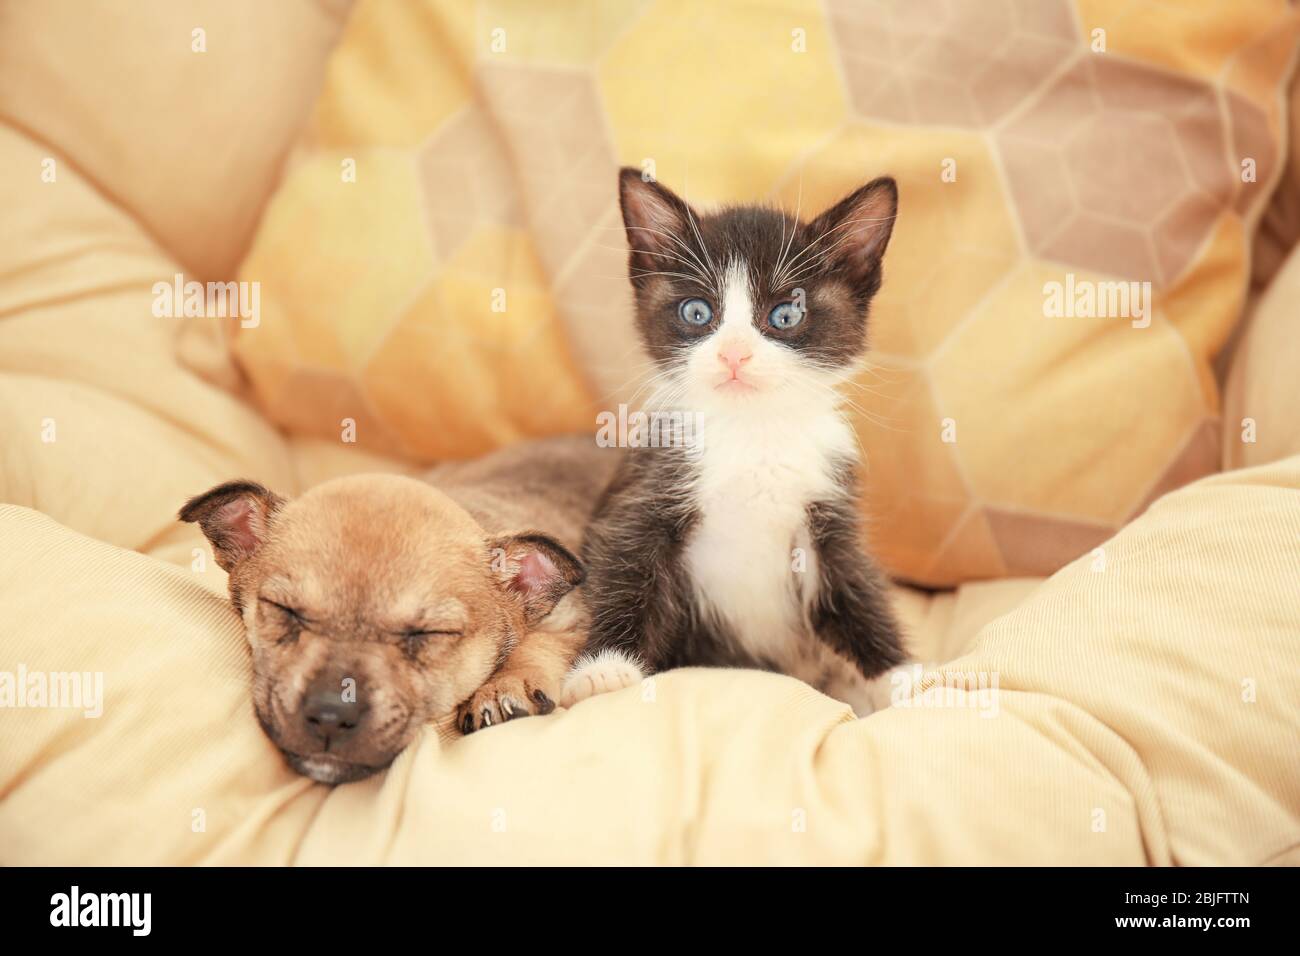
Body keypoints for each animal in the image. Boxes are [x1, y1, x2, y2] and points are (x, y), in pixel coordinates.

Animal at [178, 437, 618, 780]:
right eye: (282, 609)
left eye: (429, 634)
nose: (331, 715)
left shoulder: (572, 619)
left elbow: (538, 642)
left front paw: (504, 686)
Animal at [564, 167, 909, 712]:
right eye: (697, 313)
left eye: (786, 316)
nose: (734, 354)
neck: (754, 433)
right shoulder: (648, 489)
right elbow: (625, 571)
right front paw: (603, 669)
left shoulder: (829, 508)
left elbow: (855, 588)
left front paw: (905, 678)